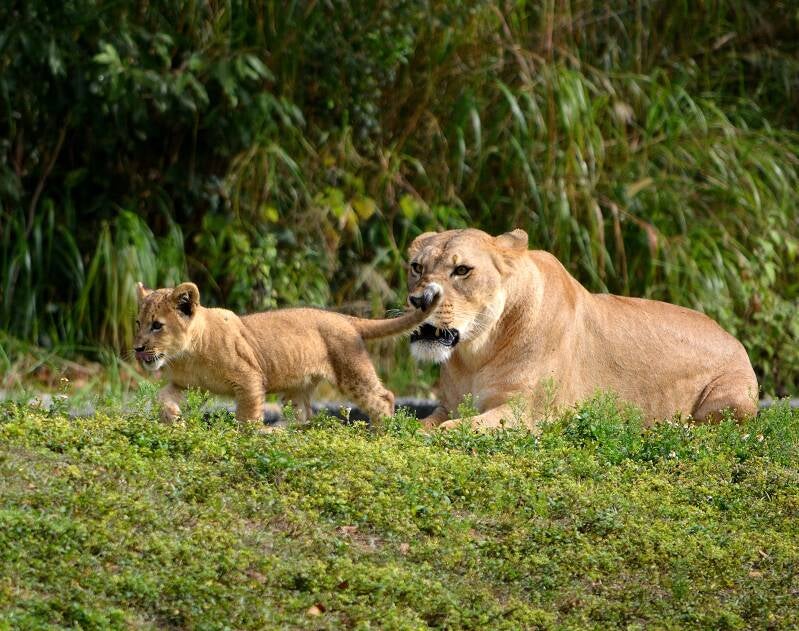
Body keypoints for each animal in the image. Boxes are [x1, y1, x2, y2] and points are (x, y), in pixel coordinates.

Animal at [133, 281, 441, 427]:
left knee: (383, 398)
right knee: (304, 415)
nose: (137, 348)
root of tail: (344, 318)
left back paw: (381, 433)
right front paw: (173, 420)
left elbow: (247, 416)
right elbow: (162, 397)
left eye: (157, 325)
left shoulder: (249, 378)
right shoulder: (183, 384)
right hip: (298, 387)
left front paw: (246, 437)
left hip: (351, 371)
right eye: (138, 323)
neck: (187, 354)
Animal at [405, 228, 759, 430]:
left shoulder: (525, 412)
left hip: (732, 398)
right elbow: (421, 425)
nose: (420, 300)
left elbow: (455, 429)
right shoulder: (447, 405)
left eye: (462, 270)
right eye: (417, 267)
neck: (476, 353)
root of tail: (734, 339)